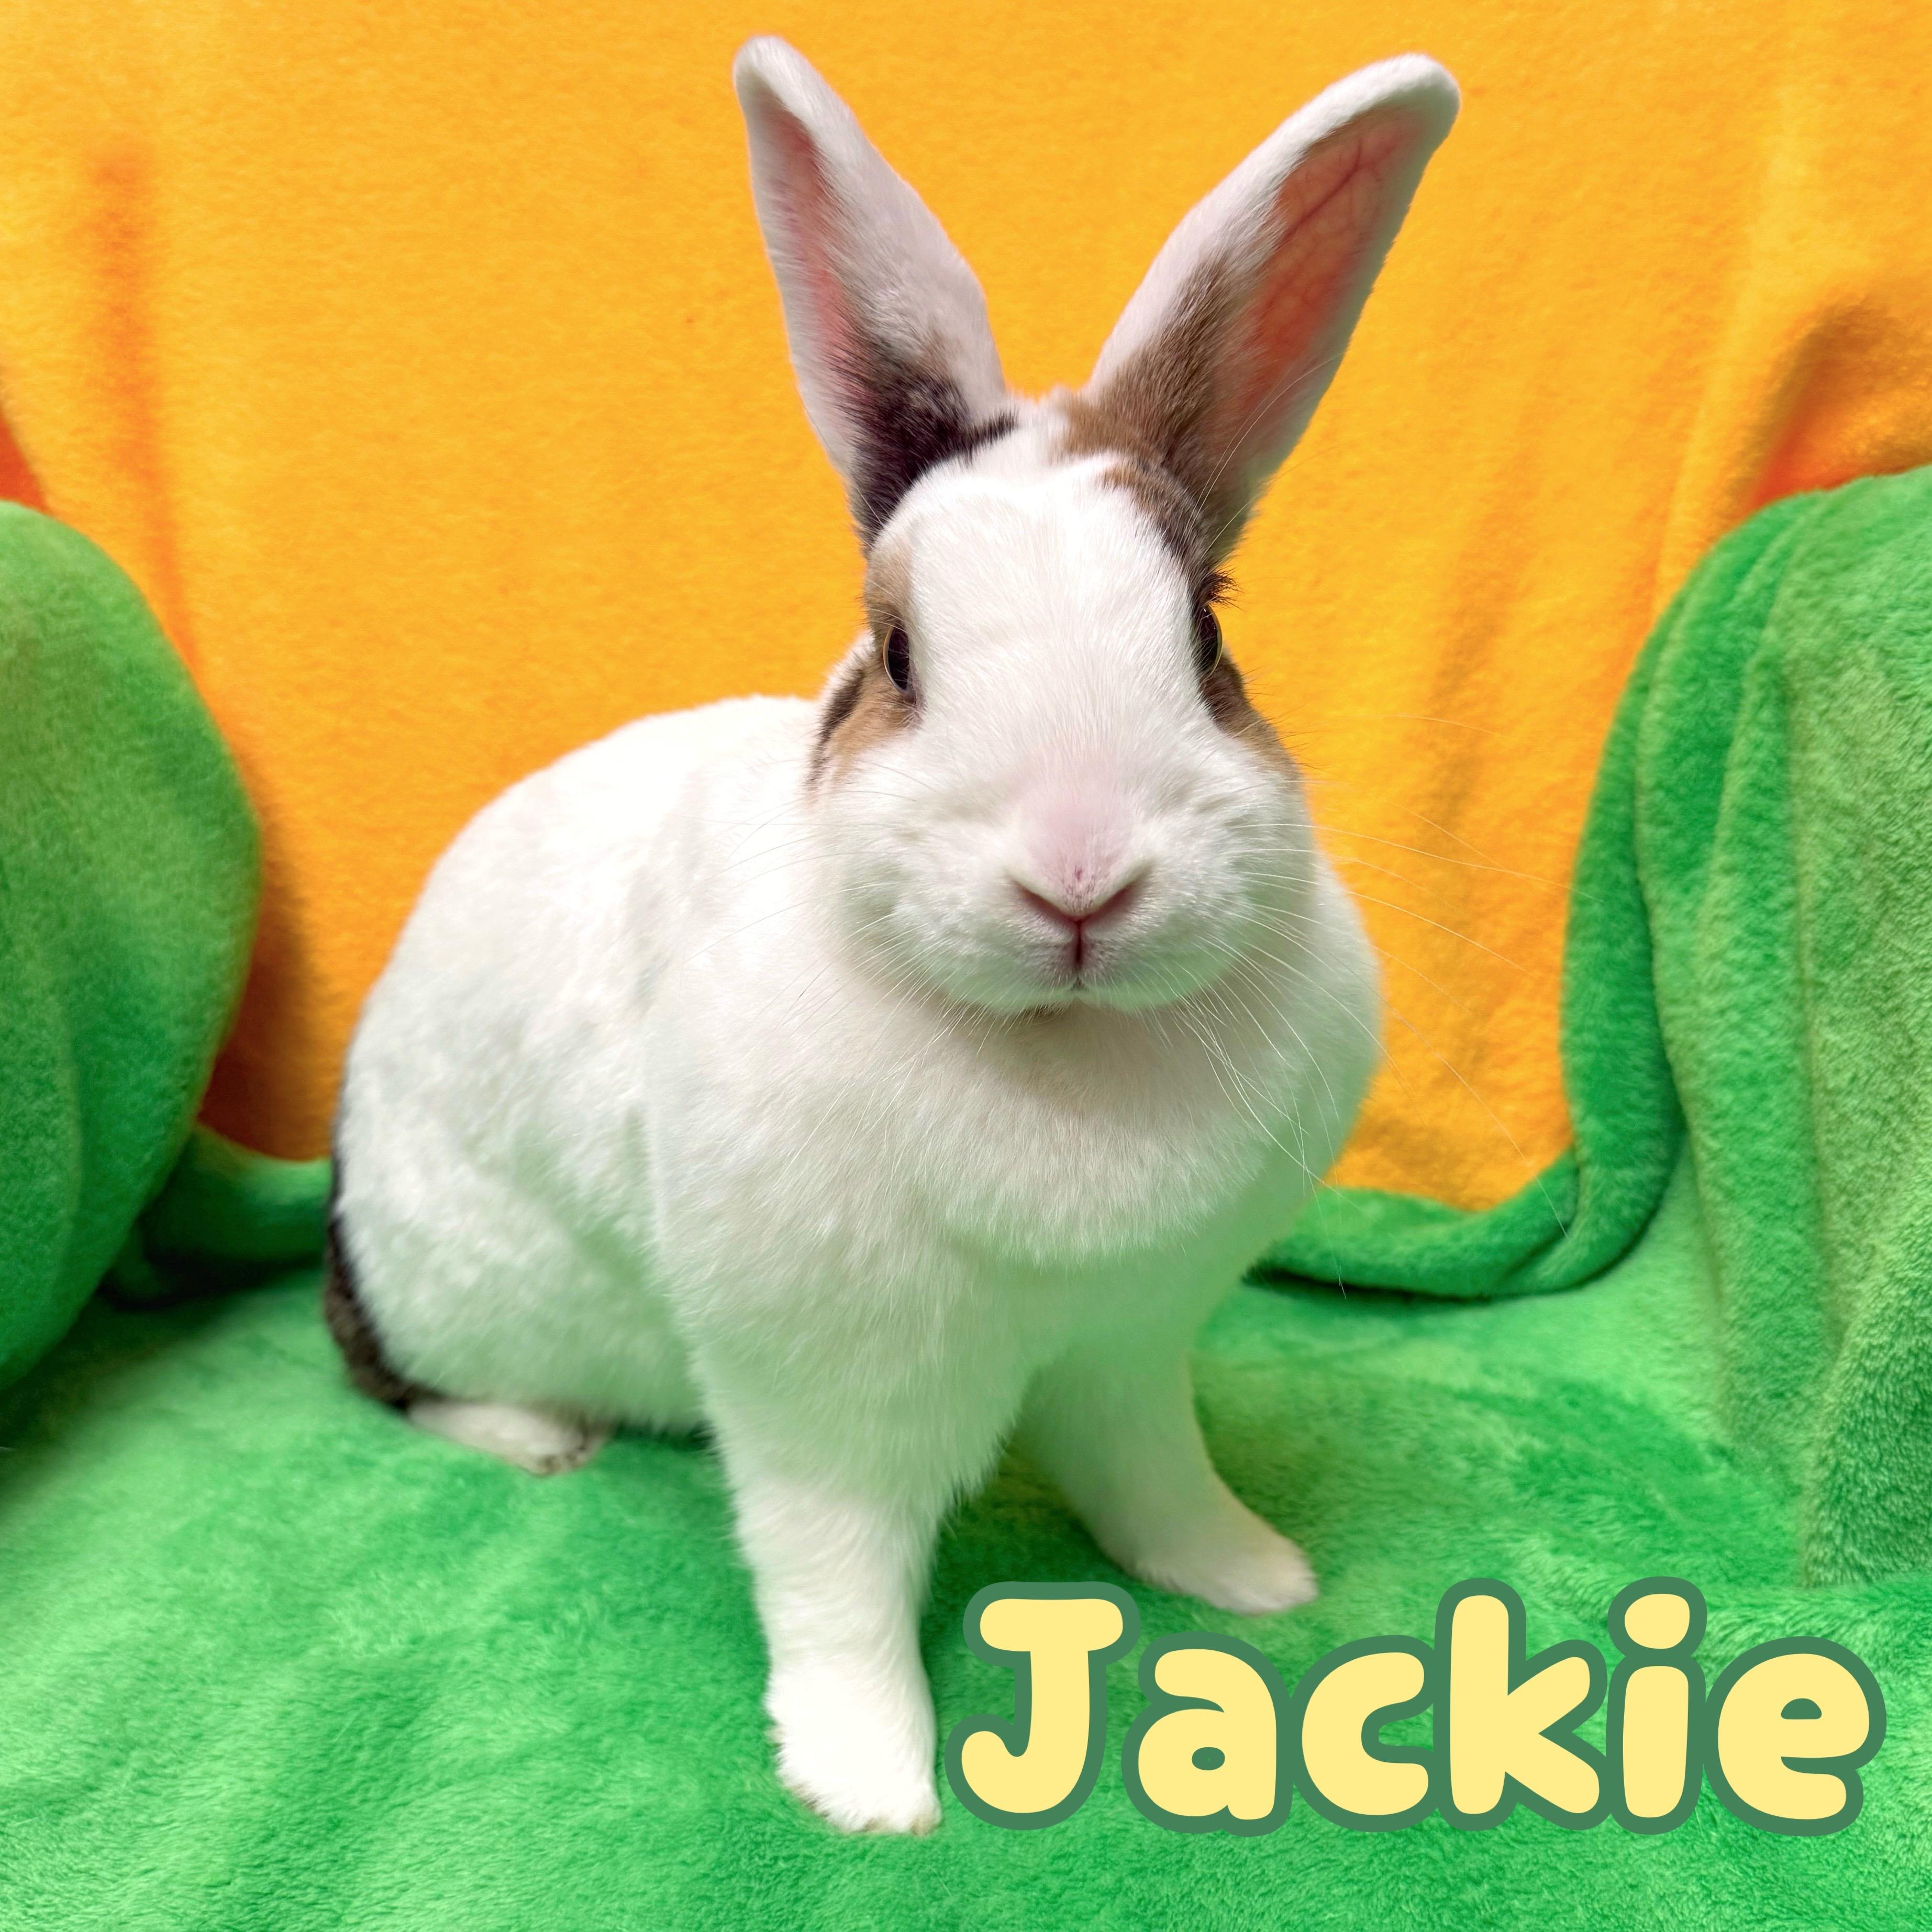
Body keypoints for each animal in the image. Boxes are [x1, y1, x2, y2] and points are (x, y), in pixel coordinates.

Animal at [325, 36, 1457, 1835]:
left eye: (1208, 635)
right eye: (899, 650)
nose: (1080, 876)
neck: (1062, 1053)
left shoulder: (1133, 1345)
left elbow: (1156, 1478)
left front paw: (1249, 1577)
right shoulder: (822, 1406)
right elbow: (836, 1585)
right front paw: (870, 1785)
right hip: (439, 1292)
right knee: (397, 1377)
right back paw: (534, 1439)